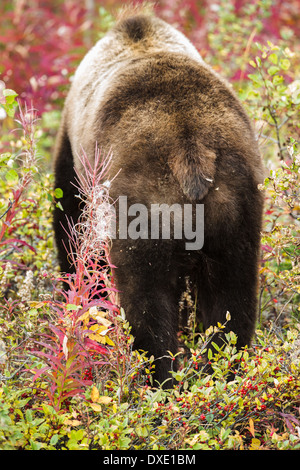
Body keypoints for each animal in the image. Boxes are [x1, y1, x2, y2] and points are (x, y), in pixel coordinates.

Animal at [52, 12, 264, 388]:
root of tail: (190, 151)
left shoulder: (77, 163)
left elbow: (72, 225)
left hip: (143, 210)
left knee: (147, 304)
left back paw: (157, 381)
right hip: (235, 207)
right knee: (232, 299)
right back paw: (223, 374)